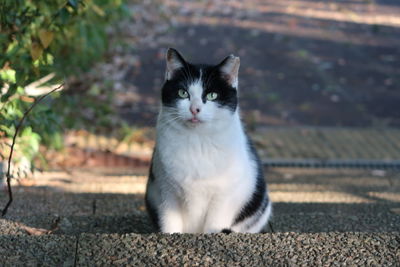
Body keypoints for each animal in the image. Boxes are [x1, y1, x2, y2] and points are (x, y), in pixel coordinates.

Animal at [145, 48, 274, 234]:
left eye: (212, 95)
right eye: (183, 93)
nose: (194, 109)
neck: (197, 142)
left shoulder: (224, 197)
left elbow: (214, 225)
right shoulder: (166, 192)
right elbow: (170, 224)